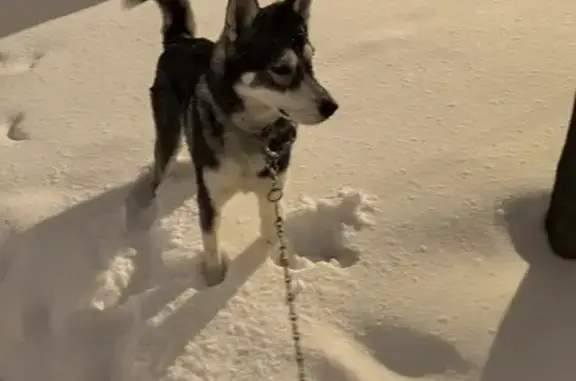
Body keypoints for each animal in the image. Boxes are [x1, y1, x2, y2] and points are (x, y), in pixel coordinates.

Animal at [122, 0, 338, 284]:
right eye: (281, 69)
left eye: (311, 60)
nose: (331, 107)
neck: (250, 133)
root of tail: (181, 40)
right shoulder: (209, 200)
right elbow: (211, 244)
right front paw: (214, 284)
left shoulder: (271, 189)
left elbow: (271, 231)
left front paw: (281, 262)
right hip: (169, 136)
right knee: (158, 173)